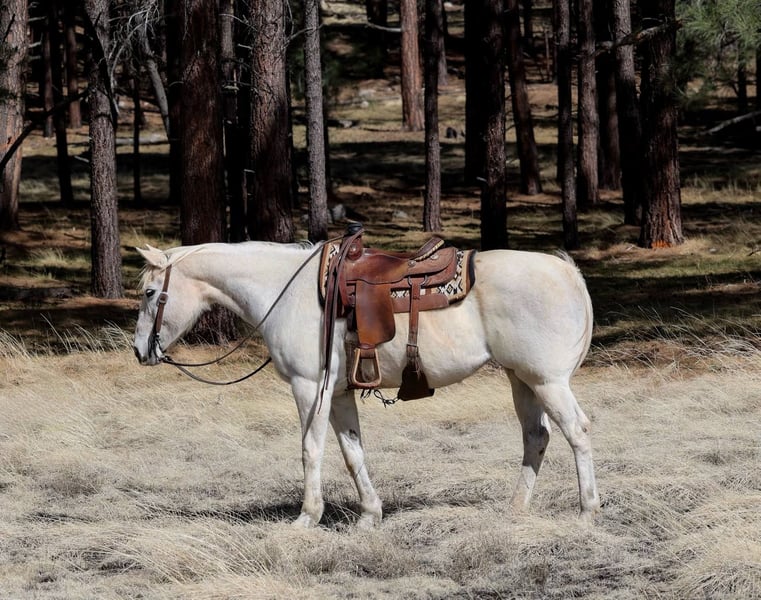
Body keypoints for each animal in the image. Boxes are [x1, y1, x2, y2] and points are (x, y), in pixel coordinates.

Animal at [132, 240, 600, 528]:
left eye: (152, 293)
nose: (140, 351)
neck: (285, 291)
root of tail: (566, 269)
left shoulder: (309, 388)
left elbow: (312, 450)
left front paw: (306, 518)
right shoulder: (339, 393)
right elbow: (352, 451)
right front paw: (369, 516)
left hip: (548, 381)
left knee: (577, 432)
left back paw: (587, 511)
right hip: (522, 380)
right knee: (536, 437)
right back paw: (515, 509)